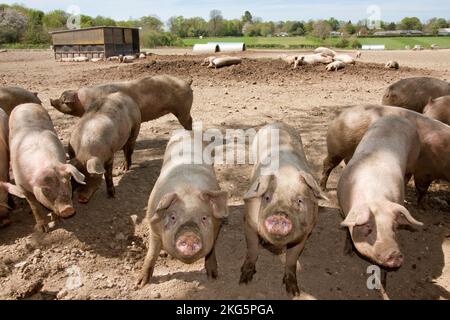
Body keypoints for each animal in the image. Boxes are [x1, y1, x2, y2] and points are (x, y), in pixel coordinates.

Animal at [49, 74, 193, 129]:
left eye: (63, 101)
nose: (50, 100)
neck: (82, 103)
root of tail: (187, 82)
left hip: (183, 108)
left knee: (189, 120)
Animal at [136, 129, 229, 286]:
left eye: (204, 217)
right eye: (173, 217)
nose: (190, 235)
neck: (187, 189)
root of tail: (186, 131)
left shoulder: (217, 225)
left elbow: (211, 251)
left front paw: (213, 276)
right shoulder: (153, 226)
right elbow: (152, 253)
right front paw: (140, 284)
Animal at [239, 122, 326, 296]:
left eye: (299, 200)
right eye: (267, 198)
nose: (280, 215)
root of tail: (276, 123)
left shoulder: (305, 233)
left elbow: (292, 260)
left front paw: (294, 292)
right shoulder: (248, 222)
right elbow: (252, 249)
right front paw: (244, 280)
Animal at [320, 105, 450, 205]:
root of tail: (339, 115)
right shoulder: (424, 170)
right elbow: (421, 186)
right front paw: (420, 203)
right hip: (336, 149)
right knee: (327, 164)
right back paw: (323, 188)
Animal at [340, 116, 424, 268]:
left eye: (394, 227)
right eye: (368, 228)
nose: (395, 254)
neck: (375, 197)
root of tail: (398, 117)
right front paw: (347, 253)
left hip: (413, 158)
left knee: (408, 175)